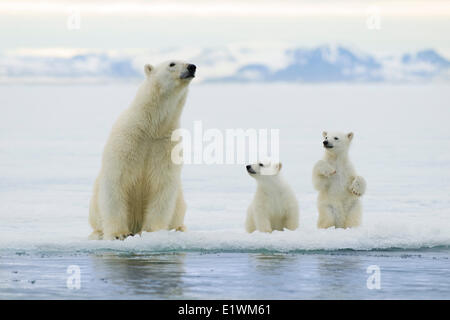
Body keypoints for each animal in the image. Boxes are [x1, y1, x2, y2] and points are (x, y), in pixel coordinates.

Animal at [89, 60, 196, 240]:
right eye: (172, 63)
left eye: (188, 61)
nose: (192, 67)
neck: (151, 127)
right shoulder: (127, 140)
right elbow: (116, 182)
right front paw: (119, 234)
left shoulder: (165, 146)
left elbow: (162, 186)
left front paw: (152, 232)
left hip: (180, 203)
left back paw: (179, 229)